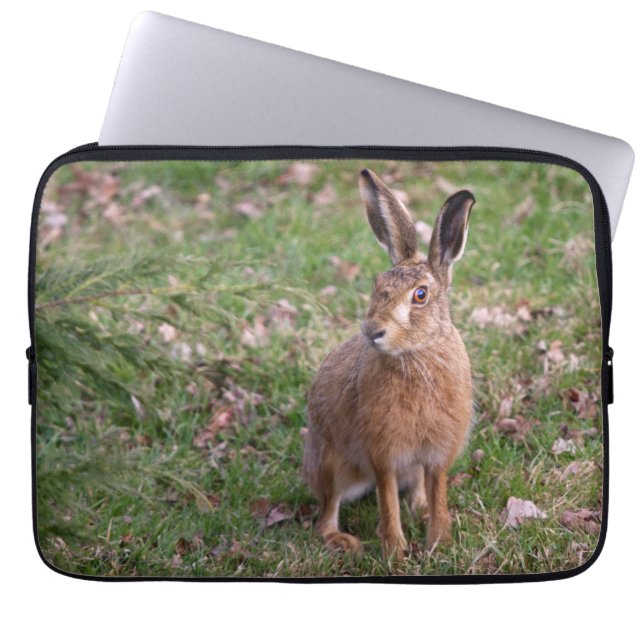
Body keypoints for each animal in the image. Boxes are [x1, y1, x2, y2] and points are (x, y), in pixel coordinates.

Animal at [303, 168, 475, 561]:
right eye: (376, 284)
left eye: (420, 295)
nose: (372, 331)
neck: (416, 353)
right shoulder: (383, 453)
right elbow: (387, 500)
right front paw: (396, 552)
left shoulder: (437, 454)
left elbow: (437, 491)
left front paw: (438, 543)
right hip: (335, 467)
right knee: (326, 515)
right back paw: (344, 541)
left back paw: (420, 509)